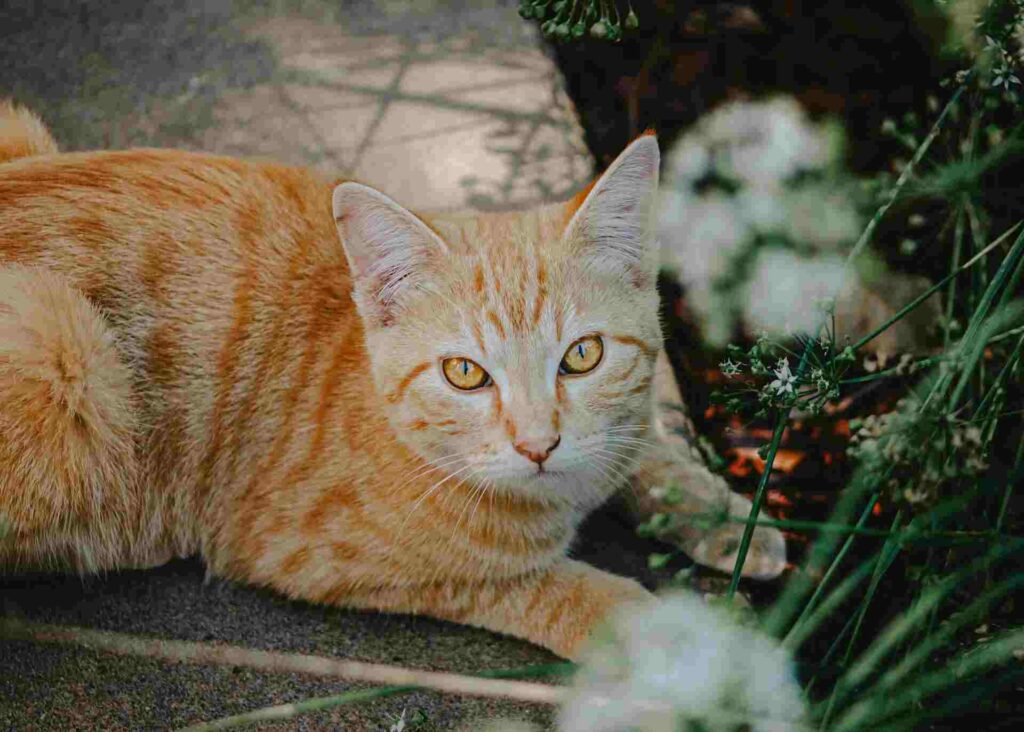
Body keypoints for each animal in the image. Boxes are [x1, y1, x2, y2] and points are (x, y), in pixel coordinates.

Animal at [2, 101, 782, 659]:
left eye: (582, 356)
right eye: (465, 373)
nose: (538, 445)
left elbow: (643, 448)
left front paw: (722, 516)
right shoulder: (309, 552)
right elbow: (536, 585)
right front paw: (690, 641)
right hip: (60, 345)